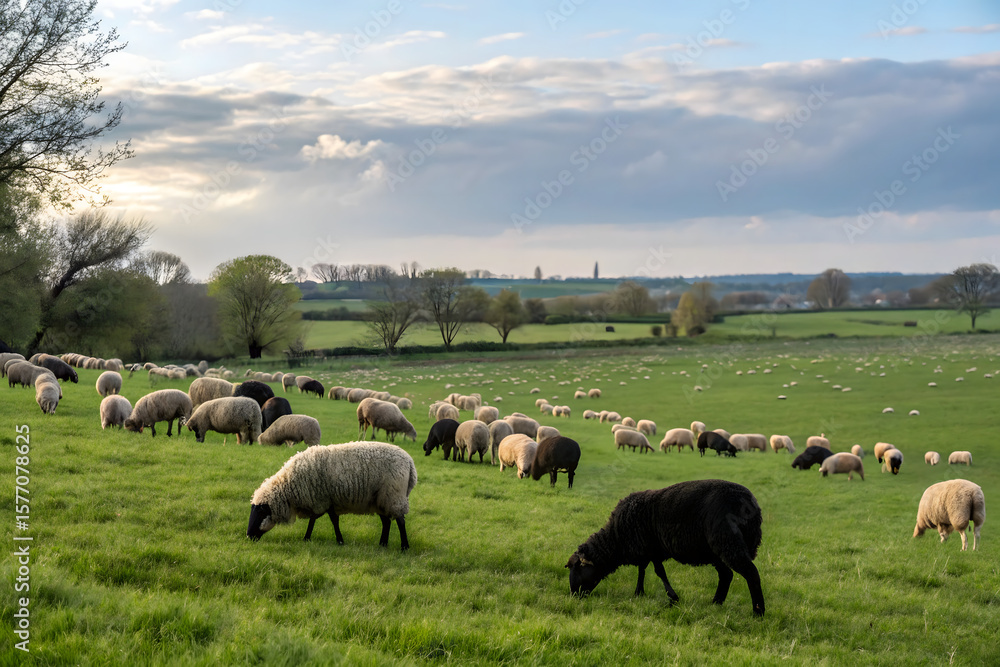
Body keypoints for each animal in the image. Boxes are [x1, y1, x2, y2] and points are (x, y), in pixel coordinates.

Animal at [247, 442, 417, 550]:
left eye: (261, 511)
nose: (248, 536)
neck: (289, 486)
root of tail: (409, 461)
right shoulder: (324, 500)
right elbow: (321, 520)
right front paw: (309, 538)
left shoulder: (322, 499)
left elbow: (327, 520)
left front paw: (337, 541)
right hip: (380, 499)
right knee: (386, 521)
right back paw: (383, 544)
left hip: (393, 496)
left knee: (400, 521)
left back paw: (404, 546)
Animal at [566, 480, 764, 616]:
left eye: (577, 569)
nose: (574, 596)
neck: (615, 538)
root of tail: (750, 503)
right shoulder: (647, 548)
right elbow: (642, 570)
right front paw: (639, 593)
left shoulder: (651, 549)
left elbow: (658, 571)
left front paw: (673, 597)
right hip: (716, 549)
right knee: (726, 574)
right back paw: (716, 603)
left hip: (727, 540)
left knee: (751, 573)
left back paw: (758, 612)